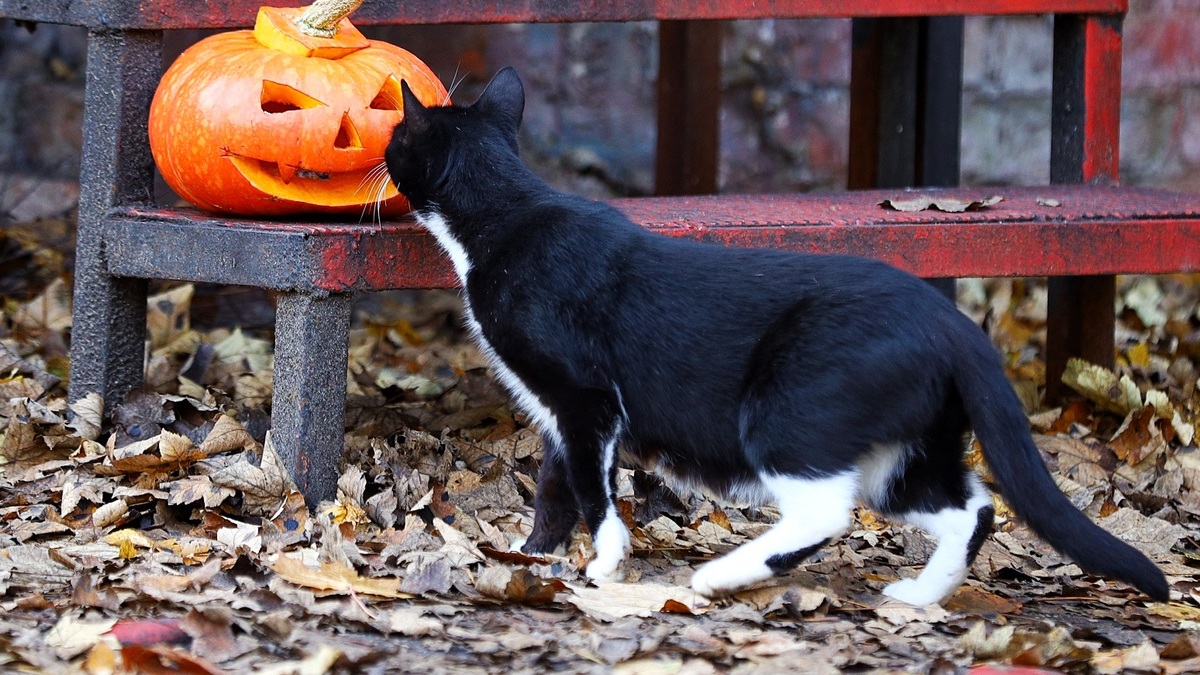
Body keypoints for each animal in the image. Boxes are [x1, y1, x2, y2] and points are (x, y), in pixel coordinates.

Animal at [386, 68, 1171, 600]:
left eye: (396, 140)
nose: (384, 156)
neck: (507, 213)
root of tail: (957, 328)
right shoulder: (558, 415)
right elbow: (554, 485)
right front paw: (532, 555)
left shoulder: (586, 400)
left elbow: (591, 486)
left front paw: (604, 561)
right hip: (901, 448)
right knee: (970, 505)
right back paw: (920, 595)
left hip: (791, 406)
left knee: (828, 510)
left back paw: (720, 576)